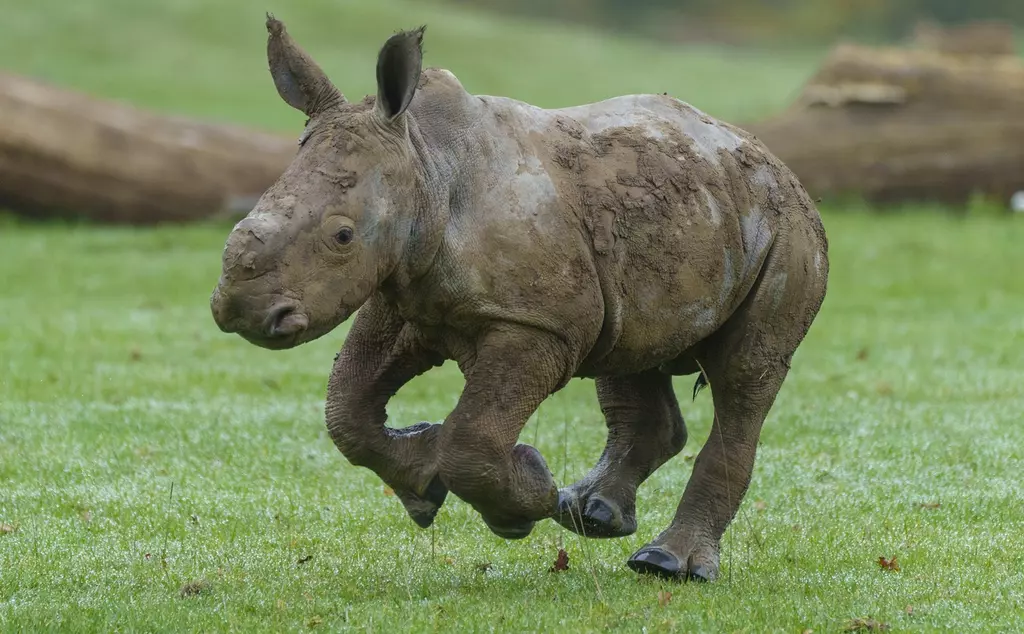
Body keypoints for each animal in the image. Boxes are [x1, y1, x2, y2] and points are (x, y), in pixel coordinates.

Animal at [211, 14, 827, 581]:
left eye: (342, 236)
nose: (240, 310)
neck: (425, 164)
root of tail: (774, 162)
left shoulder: (536, 325)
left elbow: (471, 438)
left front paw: (521, 499)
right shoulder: (404, 295)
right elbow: (346, 409)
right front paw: (427, 487)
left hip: (786, 232)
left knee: (745, 376)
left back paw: (666, 564)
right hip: (669, 224)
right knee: (630, 348)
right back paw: (590, 515)